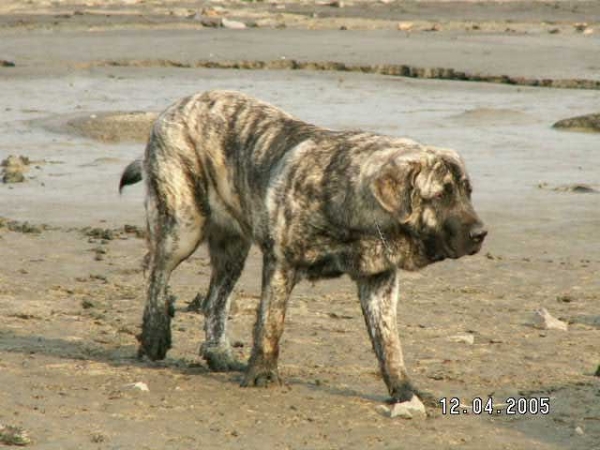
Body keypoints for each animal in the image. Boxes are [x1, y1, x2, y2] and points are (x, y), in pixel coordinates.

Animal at [118, 89, 488, 406]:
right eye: (440, 195)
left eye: (467, 192)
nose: (481, 233)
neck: (356, 209)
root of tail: (173, 107)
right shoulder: (281, 264)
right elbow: (270, 324)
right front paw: (262, 374)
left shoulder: (378, 283)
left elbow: (389, 344)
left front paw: (405, 390)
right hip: (183, 225)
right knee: (156, 272)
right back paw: (154, 333)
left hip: (233, 250)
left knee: (216, 300)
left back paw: (219, 354)